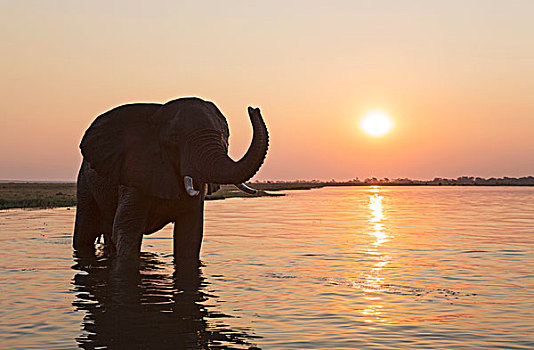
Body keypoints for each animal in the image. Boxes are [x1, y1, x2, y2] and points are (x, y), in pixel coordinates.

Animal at [73, 97, 270, 270]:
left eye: (223, 136)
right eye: (175, 138)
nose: (253, 109)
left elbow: (189, 236)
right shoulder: (135, 169)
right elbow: (127, 231)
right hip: (84, 183)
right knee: (85, 232)